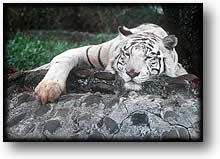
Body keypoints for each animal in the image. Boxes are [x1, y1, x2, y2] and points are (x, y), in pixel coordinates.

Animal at [34, 23, 187, 103]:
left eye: (148, 57)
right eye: (127, 54)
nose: (131, 73)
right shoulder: (87, 50)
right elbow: (62, 58)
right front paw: (47, 89)